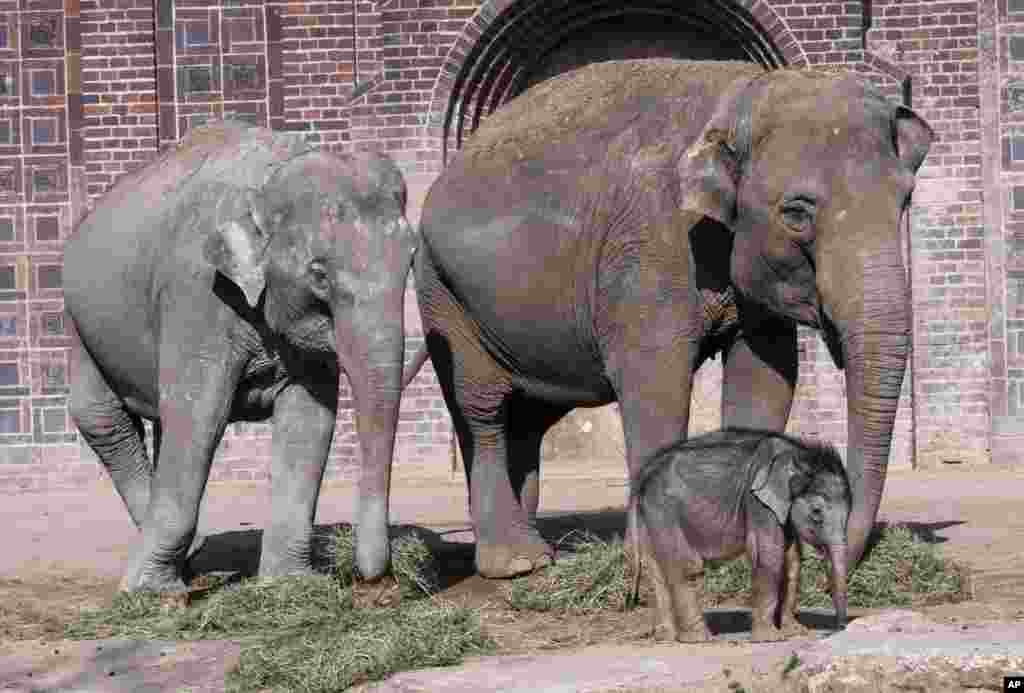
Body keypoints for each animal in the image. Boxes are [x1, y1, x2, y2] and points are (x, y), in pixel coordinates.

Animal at [64, 121, 425, 593]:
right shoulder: (197, 291)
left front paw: (290, 584)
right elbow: (200, 414)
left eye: (411, 260)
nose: (371, 578)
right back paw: (182, 560)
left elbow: (309, 419)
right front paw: (153, 594)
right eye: (319, 274)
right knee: (101, 416)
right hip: (80, 320)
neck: (268, 181)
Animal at [415, 59, 937, 577]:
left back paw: (538, 553)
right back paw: (516, 563)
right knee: (482, 410)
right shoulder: (649, 244)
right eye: (796, 214)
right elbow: (654, 382)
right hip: (444, 296)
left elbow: (764, 375)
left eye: (905, 202)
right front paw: (655, 563)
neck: (743, 95)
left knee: (525, 419)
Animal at [626, 427, 851, 642]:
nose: (839, 628)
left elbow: (792, 561)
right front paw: (770, 639)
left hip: (651, 515)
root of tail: (643, 475)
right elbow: (769, 556)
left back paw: (667, 637)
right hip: (664, 509)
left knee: (656, 568)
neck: (798, 453)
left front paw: (795, 632)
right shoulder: (758, 503)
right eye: (816, 512)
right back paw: (699, 639)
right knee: (686, 567)